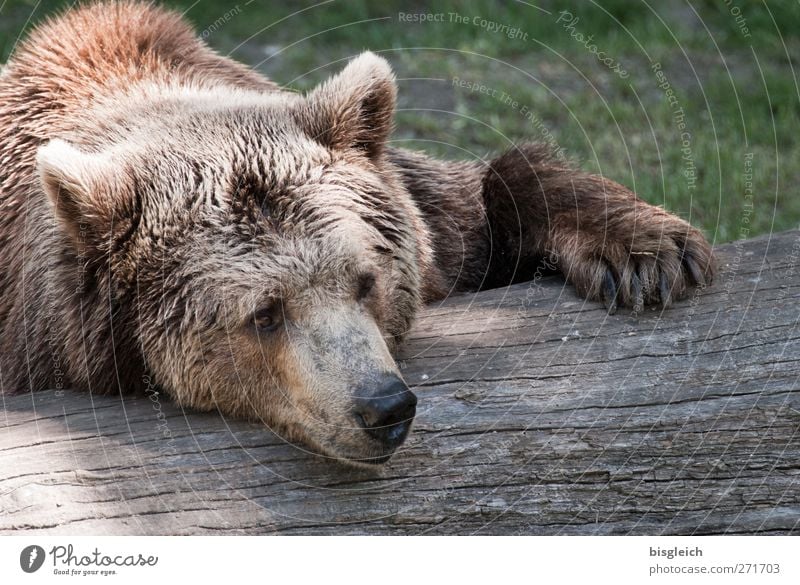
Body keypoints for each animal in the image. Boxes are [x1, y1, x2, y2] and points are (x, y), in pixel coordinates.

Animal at [0, 1, 712, 466]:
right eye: (264, 314)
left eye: (366, 280)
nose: (385, 408)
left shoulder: (428, 223)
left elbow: (496, 195)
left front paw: (651, 255)